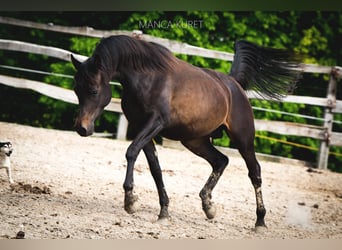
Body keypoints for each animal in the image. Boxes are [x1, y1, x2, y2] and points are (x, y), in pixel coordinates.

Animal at [71, 35, 300, 230]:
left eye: (93, 90)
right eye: (76, 90)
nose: (82, 128)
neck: (148, 77)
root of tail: (233, 84)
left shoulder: (155, 123)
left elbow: (131, 152)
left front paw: (130, 201)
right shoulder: (140, 127)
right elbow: (155, 168)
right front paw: (163, 212)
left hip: (243, 140)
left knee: (255, 173)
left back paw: (260, 221)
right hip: (195, 141)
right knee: (221, 161)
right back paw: (208, 206)